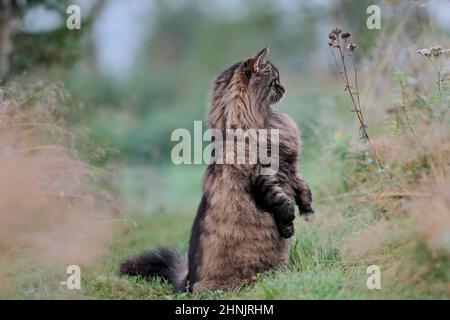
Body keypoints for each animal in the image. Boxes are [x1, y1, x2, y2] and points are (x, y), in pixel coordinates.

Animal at [121, 47, 314, 292]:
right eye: (275, 81)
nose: (284, 89)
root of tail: (187, 280)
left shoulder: (291, 169)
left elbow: (302, 187)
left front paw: (308, 210)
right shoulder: (264, 177)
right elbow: (282, 204)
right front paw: (289, 226)